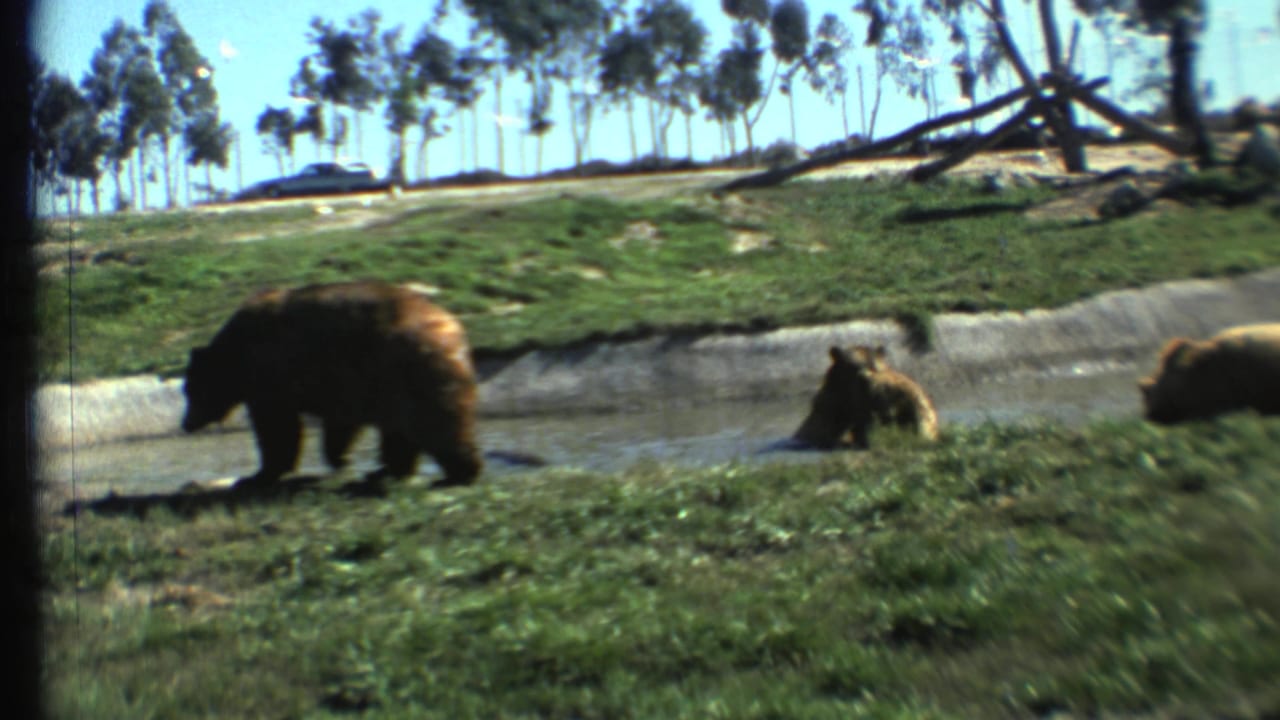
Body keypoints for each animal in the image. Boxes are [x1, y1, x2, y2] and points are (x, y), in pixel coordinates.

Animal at [181, 280, 483, 489]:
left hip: (412, 371)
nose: (186, 423)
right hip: (398, 382)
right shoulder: (343, 379)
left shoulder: (274, 374)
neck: (237, 354)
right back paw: (385, 472)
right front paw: (340, 458)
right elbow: (339, 423)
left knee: (437, 424)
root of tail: (453, 328)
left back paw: (460, 472)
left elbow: (278, 427)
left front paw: (259, 474)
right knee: (401, 431)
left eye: (190, 390)